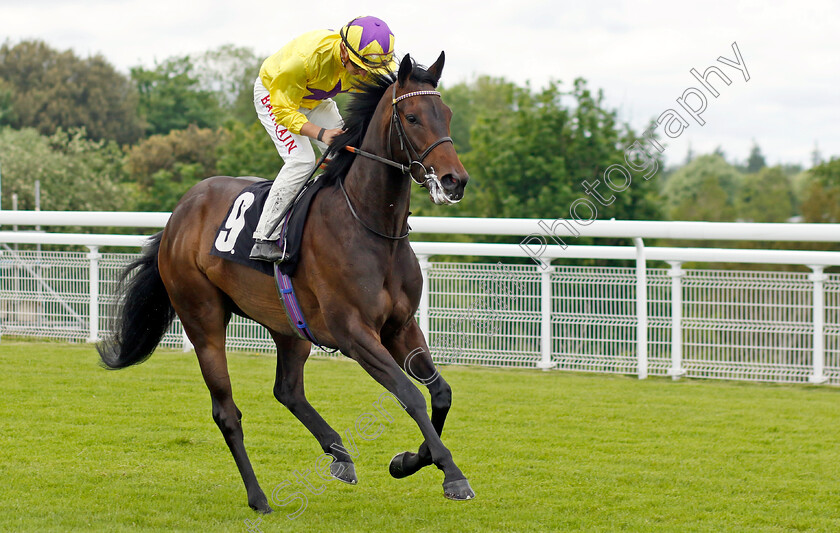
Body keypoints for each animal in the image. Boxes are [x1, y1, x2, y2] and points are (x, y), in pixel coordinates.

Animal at [96, 53, 476, 512]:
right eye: (413, 116)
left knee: (288, 390)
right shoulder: (355, 334)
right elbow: (410, 394)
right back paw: (259, 496)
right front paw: (451, 474)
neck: (370, 225)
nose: (455, 180)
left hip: (289, 325)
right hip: (202, 317)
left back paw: (339, 454)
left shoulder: (401, 326)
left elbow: (441, 393)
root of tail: (177, 216)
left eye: (447, 113)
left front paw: (408, 460)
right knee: (227, 411)